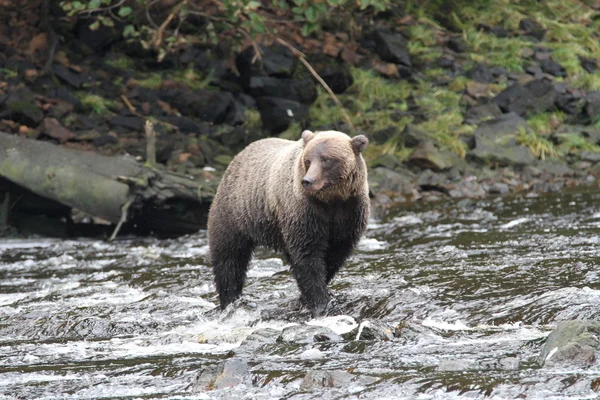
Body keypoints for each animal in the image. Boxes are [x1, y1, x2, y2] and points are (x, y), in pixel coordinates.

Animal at [207, 130, 370, 318]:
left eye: (326, 159)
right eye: (308, 160)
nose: (308, 181)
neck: (331, 200)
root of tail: (237, 157)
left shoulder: (349, 212)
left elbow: (335, 253)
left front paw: (312, 297)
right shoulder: (304, 211)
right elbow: (308, 256)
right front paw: (319, 303)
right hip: (235, 213)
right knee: (229, 257)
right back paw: (230, 299)